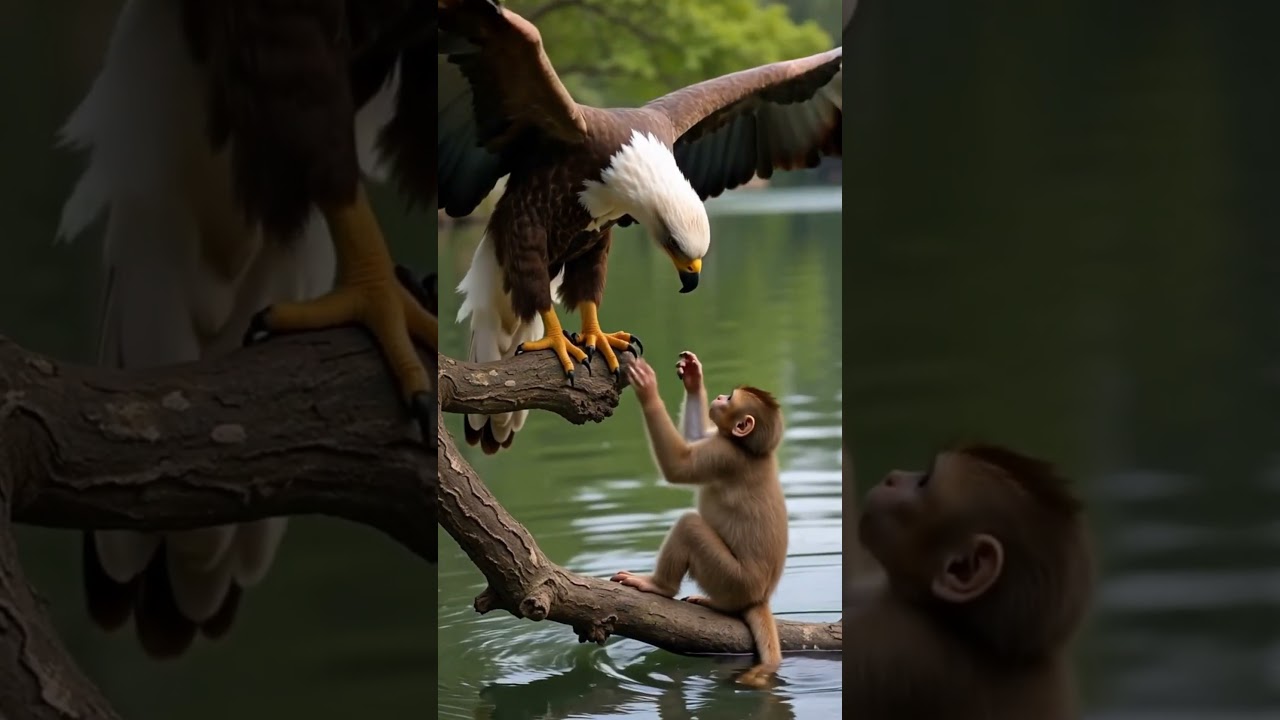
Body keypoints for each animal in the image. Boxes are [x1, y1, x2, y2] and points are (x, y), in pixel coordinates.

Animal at [609, 352, 789, 688]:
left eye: (730, 398)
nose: (718, 397)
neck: (749, 450)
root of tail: (761, 595)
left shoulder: (724, 455)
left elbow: (679, 466)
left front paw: (648, 389)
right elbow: (695, 436)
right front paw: (693, 376)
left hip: (732, 579)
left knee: (689, 526)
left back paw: (659, 586)